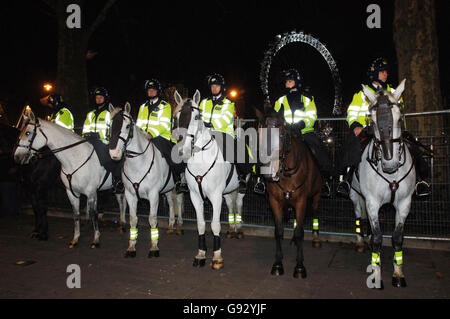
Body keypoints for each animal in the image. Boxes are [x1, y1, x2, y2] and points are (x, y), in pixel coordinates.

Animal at [14, 111, 126, 249]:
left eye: (28, 133)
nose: (17, 157)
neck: (75, 159)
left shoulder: (90, 193)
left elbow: (93, 213)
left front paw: (96, 239)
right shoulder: (71, 193)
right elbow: (76, 214)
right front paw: (75, 238)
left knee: (122, 203)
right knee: (122, 202)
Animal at [108, 104, 184, 258]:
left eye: (127, 126)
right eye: (111, 125)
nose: (114, 153)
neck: (138, 163)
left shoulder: (153, 195)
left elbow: (152, 219)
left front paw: (154, 248)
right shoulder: (130, 195)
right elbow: (133, 219)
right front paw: (131, 247)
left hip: (179, 186)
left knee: (178, 201)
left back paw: (179, 225)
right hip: (167, 188)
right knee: (171, 204)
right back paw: (171, 225)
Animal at [172, 90, 244, 270]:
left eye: (197, 116)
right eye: (176, 117)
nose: (182, 151)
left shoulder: (215, 197)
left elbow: (215, 225)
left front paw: (217, 257)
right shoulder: (195, 196)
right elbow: (201, 224)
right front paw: (201, 254)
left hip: (240, 189)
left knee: (239, 204)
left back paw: (239, 229)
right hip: (227, 192)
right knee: (231, 205)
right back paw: (231, 230)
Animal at [256, 106, 324, 278]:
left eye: (281, 133)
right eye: (259, 132)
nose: (268, 171)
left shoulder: (301, 202)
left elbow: (300, 232)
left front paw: (299, 267)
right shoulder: (275, 202)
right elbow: (279, 231)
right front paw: (277, 264)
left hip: (316, 197)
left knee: (314, 213)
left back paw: (315, 239)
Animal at [350, 79, 416, 288]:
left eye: (399, 118)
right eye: (372, 121)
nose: (390, 163)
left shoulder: (404, 203)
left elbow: (397, 237)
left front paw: (398, 274)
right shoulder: (371, 201)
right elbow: (378, 238)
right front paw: (376, 274)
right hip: (355, 195)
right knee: (359, 216)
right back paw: (360, 242)